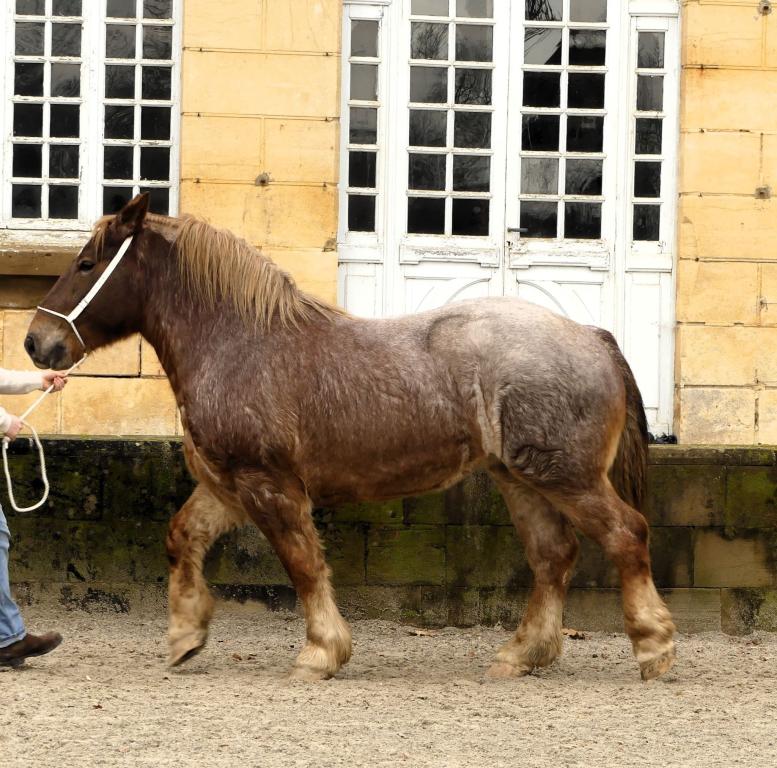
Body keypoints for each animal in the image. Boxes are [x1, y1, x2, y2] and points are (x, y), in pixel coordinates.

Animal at [25, 193, 676, 682]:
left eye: (87, 263)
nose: (36, 342)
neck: (239, 343)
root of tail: (592, 335)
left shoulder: (269, 485)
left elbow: (303, 565)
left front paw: (321, 653)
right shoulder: (228, 486)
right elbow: (183, 537)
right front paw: (186, 636)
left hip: (566, 476)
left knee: (626, 535)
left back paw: (653, 646)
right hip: (520, 479)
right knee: (553, 556)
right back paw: (522, 655)